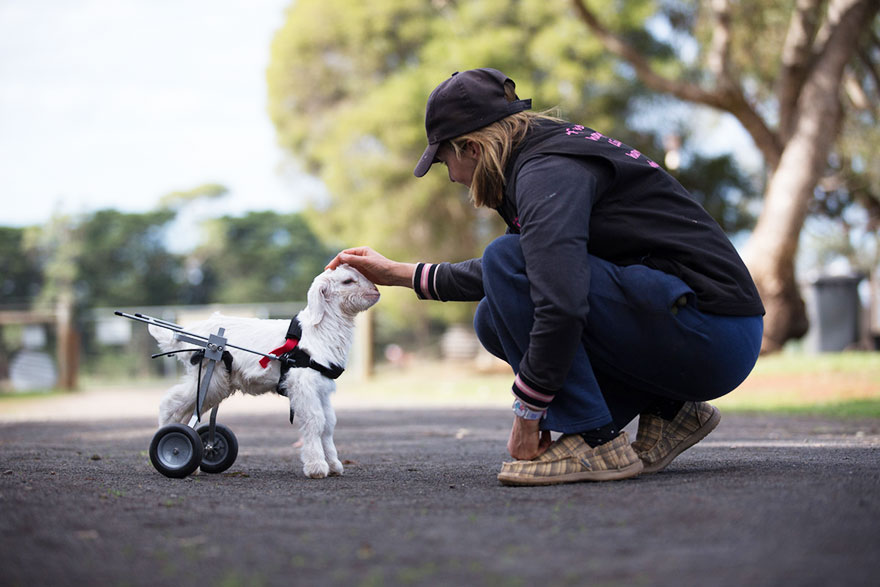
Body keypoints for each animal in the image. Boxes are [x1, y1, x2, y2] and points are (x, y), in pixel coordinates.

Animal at [147, 264, 378, 480]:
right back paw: (172, 447)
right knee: (170, 403)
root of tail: (189, 333)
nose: (376, 291)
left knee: (187, 410)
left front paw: (334, 465)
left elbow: (329, 424)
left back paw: (193, 462)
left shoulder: (322, 388)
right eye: (348, 281)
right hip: (209, 376)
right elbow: (315, 421)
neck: (318, 332)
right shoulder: (303, 384)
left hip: (214, 383)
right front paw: (317, 467)